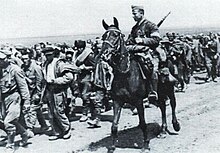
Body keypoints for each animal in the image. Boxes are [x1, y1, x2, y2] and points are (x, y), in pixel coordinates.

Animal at [97, 17, 150, 152]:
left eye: (115, 35)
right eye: (103, 36)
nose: (103, 54)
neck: (125, 74)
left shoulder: (139, 101)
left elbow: (143, 124)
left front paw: (146, 144)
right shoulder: (117, 101)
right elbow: (114, 125)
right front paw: (112, 147)